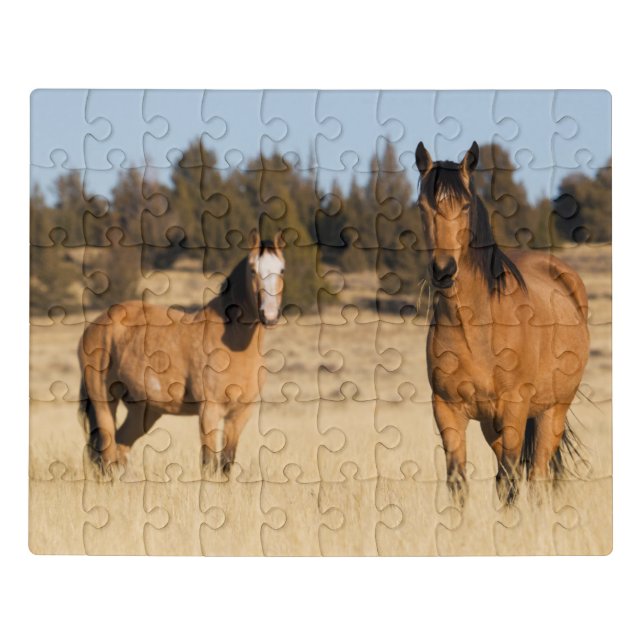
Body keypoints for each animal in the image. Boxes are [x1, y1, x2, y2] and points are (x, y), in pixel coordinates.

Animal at [78, 229, 285, 477]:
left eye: (282, 269)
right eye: (253, 270)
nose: (270, 315)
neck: (233, 344)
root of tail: (95, 326)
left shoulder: (239, 414)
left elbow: (226, 463)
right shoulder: (209, 412)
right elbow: (208, 464)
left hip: (144, 411)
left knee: (120, 447)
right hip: (103, 401)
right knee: (108, 453)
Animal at [415, 140, 590, 506]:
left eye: (466, 205)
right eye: (423, 206)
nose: (444, 271)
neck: (475, 328)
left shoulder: (514, 408)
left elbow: (511, 480)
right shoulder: (448, 410)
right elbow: (459, 482)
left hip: (552, 411)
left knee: (536, 475)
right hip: (491, 424)